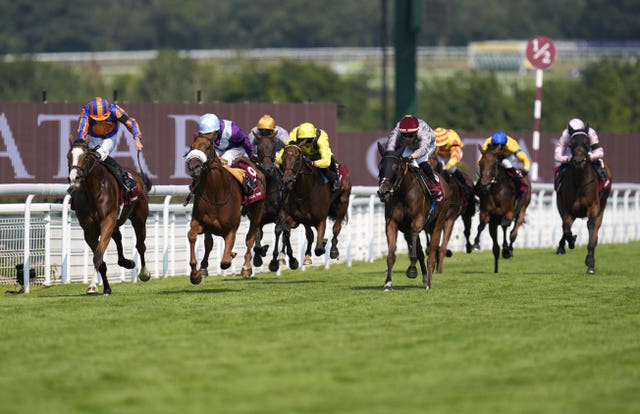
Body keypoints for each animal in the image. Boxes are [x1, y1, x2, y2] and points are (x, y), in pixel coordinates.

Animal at [66, 136, 151, 294]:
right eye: (69, 156)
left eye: (85, 157)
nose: (74, 178)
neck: (93, 192)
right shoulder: (89, 230)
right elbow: (100, 260)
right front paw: (106, 288)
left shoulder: (107, 221)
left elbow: (98, 256)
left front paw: (93, 285)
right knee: (118, 236)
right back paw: (126, 262)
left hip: (139, 218)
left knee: (140, 245)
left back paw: (144, 272)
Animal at [185, 134, 264, 284]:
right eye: (191, 147)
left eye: (208, 147)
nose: (193, 167)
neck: (215, 193)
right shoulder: (200, 222)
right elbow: (192, 236)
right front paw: (195, 274)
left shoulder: (231, 228)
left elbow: (225, 261)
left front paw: (232, 255)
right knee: (209, 243)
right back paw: (203, 268)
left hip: (257, 212)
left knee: (250, 238)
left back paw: (246, 267)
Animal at [251, 134, 298, 274]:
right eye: (259, 148)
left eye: (272, 148)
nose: (267, 168)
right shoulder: (256, 216)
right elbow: (257, 235)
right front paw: (259, 254)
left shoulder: (280, 213)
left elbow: (279, 230)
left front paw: (273, 262)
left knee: (286, 231)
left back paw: (289, 259)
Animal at [376, 143, 450, 292]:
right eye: (380, 167)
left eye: (396, 167)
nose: (383, 192)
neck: (403, 193)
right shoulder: (392, 223)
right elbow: (391, 254)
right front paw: (388, 283)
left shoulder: (417, 222)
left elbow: (416, 247)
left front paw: (411, 270)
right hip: (407, 230)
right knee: (421, 250)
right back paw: (425, 277)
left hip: (437, 225)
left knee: (431, 254)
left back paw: (428, 283)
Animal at [552, 128, 612, 274]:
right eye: (572, 143)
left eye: (587, 142)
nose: (579, 161)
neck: (579, 182)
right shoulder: (567, 209)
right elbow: (566, 229)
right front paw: (571, 241)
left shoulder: (593, 207)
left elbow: (591, 227)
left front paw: (590, 262)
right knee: (564, 227)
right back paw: (562, 247)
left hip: (602, 207)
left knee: (595, 231)